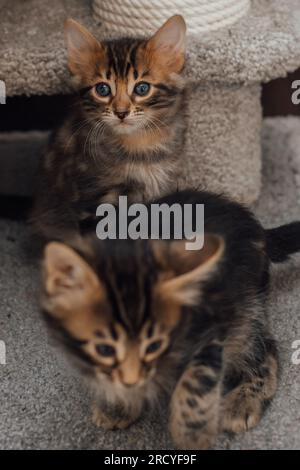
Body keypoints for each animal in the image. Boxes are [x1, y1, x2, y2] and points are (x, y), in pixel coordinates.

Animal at [38, 190, 300, 448]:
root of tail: (257, 229)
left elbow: (196, 378)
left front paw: (191, 431)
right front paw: (119, 403)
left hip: (244, 308)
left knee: (264, 350)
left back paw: (243, 401)